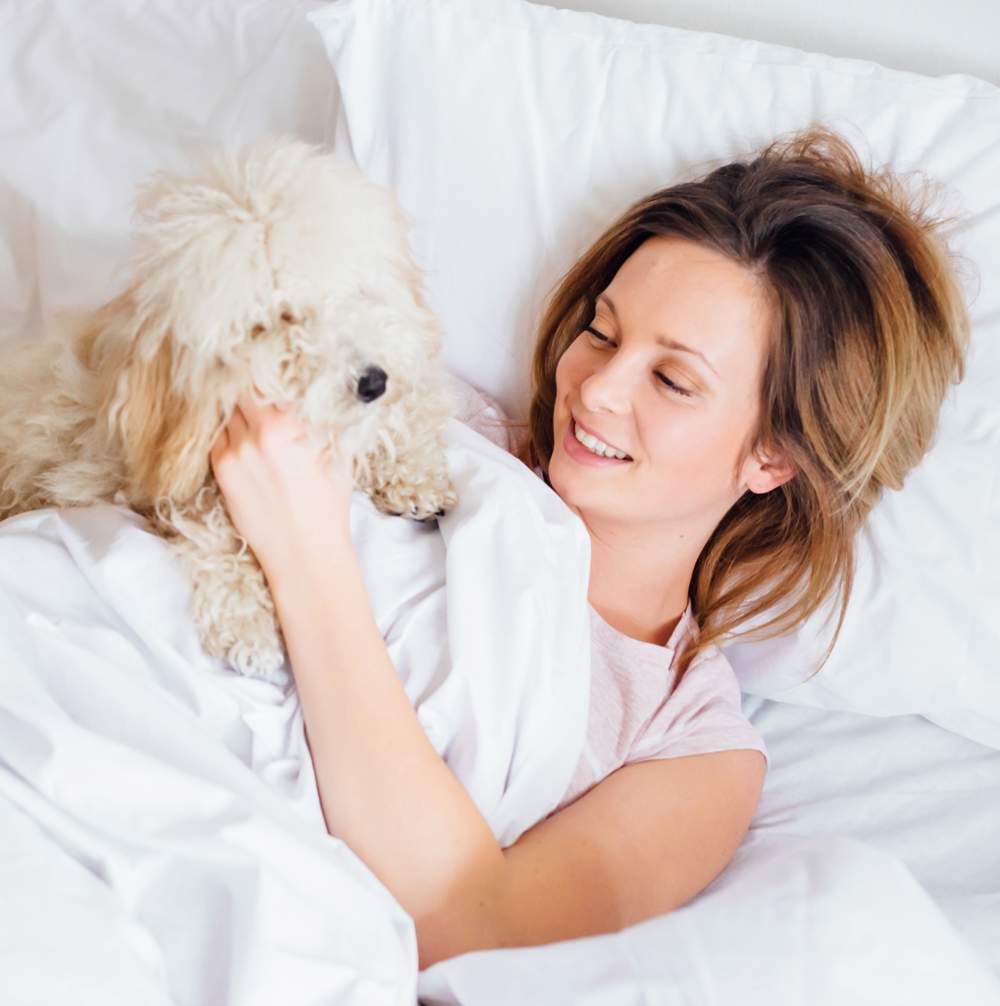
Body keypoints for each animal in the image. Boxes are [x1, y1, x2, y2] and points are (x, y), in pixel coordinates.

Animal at [0, 133, 460, 680]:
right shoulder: (161, 479)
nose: (373, 381)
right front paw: (247, 622)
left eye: (355, 289)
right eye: (277, 319)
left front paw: (414, 473)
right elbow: (214, 527)